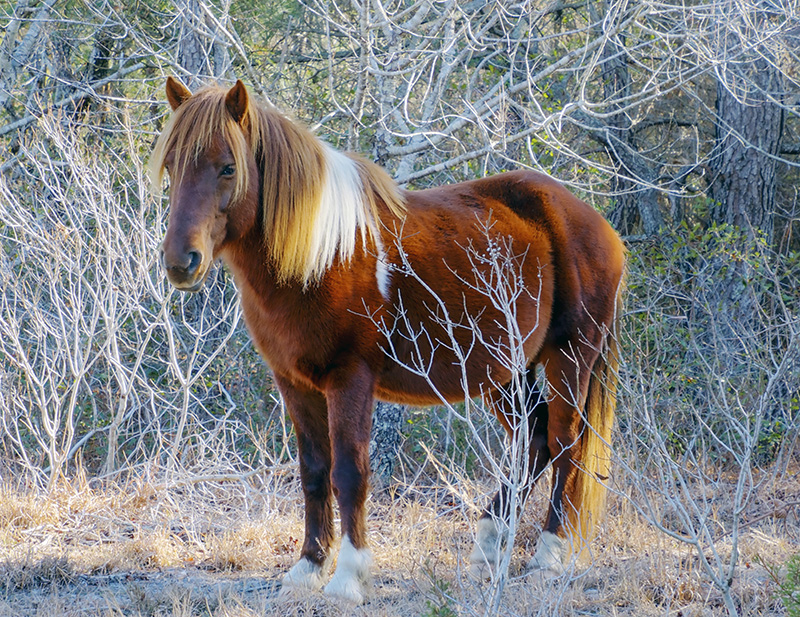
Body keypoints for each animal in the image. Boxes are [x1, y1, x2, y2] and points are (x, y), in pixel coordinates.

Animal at [151, 77, 625, 603]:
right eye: (170, 166)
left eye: (228, 167)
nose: (181, 262)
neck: (321, 255)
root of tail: (597, 224)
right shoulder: (294, 382)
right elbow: (313, 472)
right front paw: (307, 568)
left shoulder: (350, 379)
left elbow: (350, 472)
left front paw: (348, 578)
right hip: (505, 371)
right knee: (535, 439)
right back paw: (487, 547)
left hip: (570, 355)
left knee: (565, 444)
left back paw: (547, 556)